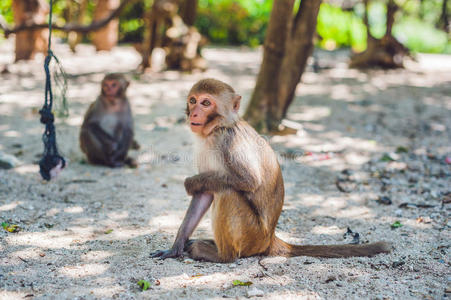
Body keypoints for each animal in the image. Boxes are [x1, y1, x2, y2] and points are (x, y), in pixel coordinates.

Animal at [153, 78, 392, 262]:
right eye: (193, 100)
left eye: (205, 102)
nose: (194, 113)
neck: (217, 128)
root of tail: (270, 239)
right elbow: (204, 194)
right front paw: (176, 246)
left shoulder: (228, 141)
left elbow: (248, 180)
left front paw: (191, 182)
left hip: (252, 235)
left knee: (227, 192)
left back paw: (222, 256)